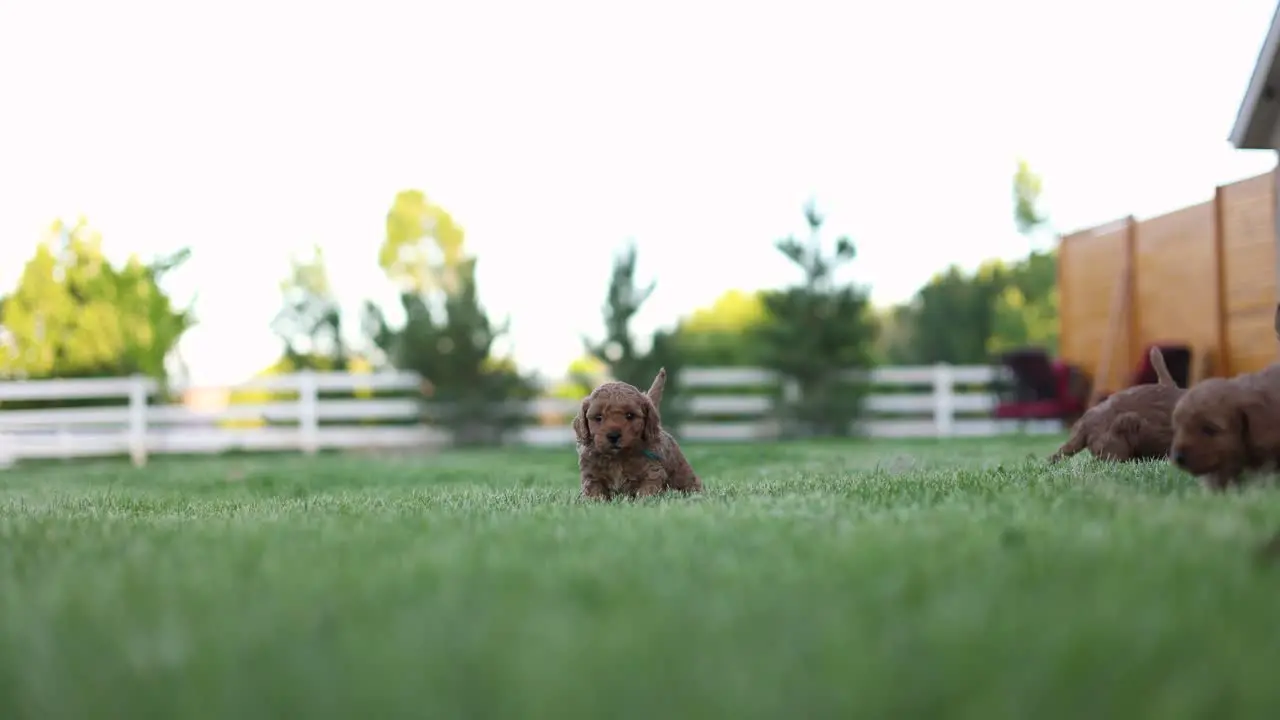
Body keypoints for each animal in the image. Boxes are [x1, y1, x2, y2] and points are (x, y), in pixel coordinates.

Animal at [576, 366, 706, 497]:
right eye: (598, 417)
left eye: (630, 415)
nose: (613, 436)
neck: (618, 457)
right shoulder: (592, 476)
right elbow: (595, 492)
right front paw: (595, 499)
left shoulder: (652, 471)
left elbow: (646, 491)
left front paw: (644, 500)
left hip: (680, 469)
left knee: (687, 480)